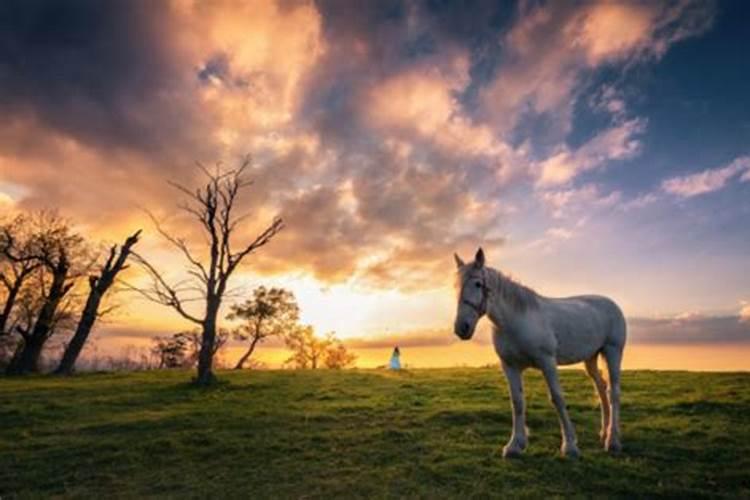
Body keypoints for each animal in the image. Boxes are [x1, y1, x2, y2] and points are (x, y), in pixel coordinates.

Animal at [452, 248, 628, 458]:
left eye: (478, 284)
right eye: (456, 286)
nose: (461, 328)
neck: (516, 320)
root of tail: (611, 303)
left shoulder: (547, 362)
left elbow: (557, 398)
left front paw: (569, 445)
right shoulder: (510, 366)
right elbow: (517, 402)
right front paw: (514, 445)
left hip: (613, 351)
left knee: (614, 392)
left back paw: (613, 441)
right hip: (591, 358)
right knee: (601, 388)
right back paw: (604, 432)